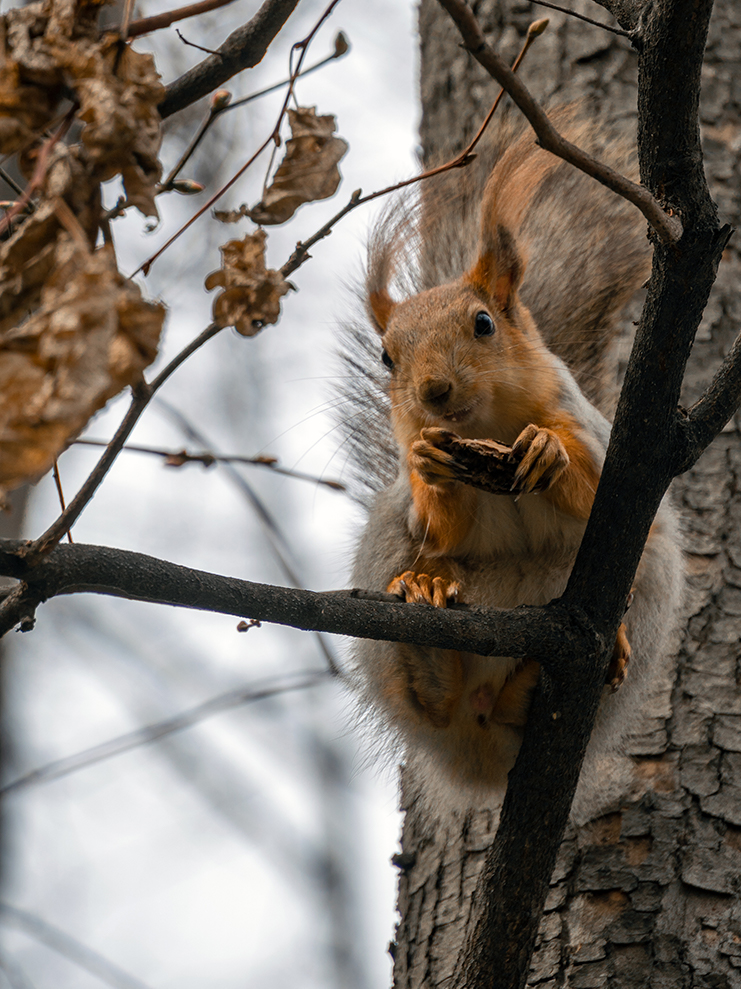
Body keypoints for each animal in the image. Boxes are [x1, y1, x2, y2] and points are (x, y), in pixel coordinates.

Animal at [346, 110, 684, 820]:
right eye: (388, 356)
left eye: (483, 323)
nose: (433, 392)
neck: (490, 430)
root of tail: (479, 763)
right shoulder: (421, 492)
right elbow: (440, 527)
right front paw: (430, 461)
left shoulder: (594, 432)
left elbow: (598, 490)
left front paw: (548, 453)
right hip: (387, 553)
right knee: (433, 689)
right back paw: (428, 632)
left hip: (647, 584)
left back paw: (541, 683)